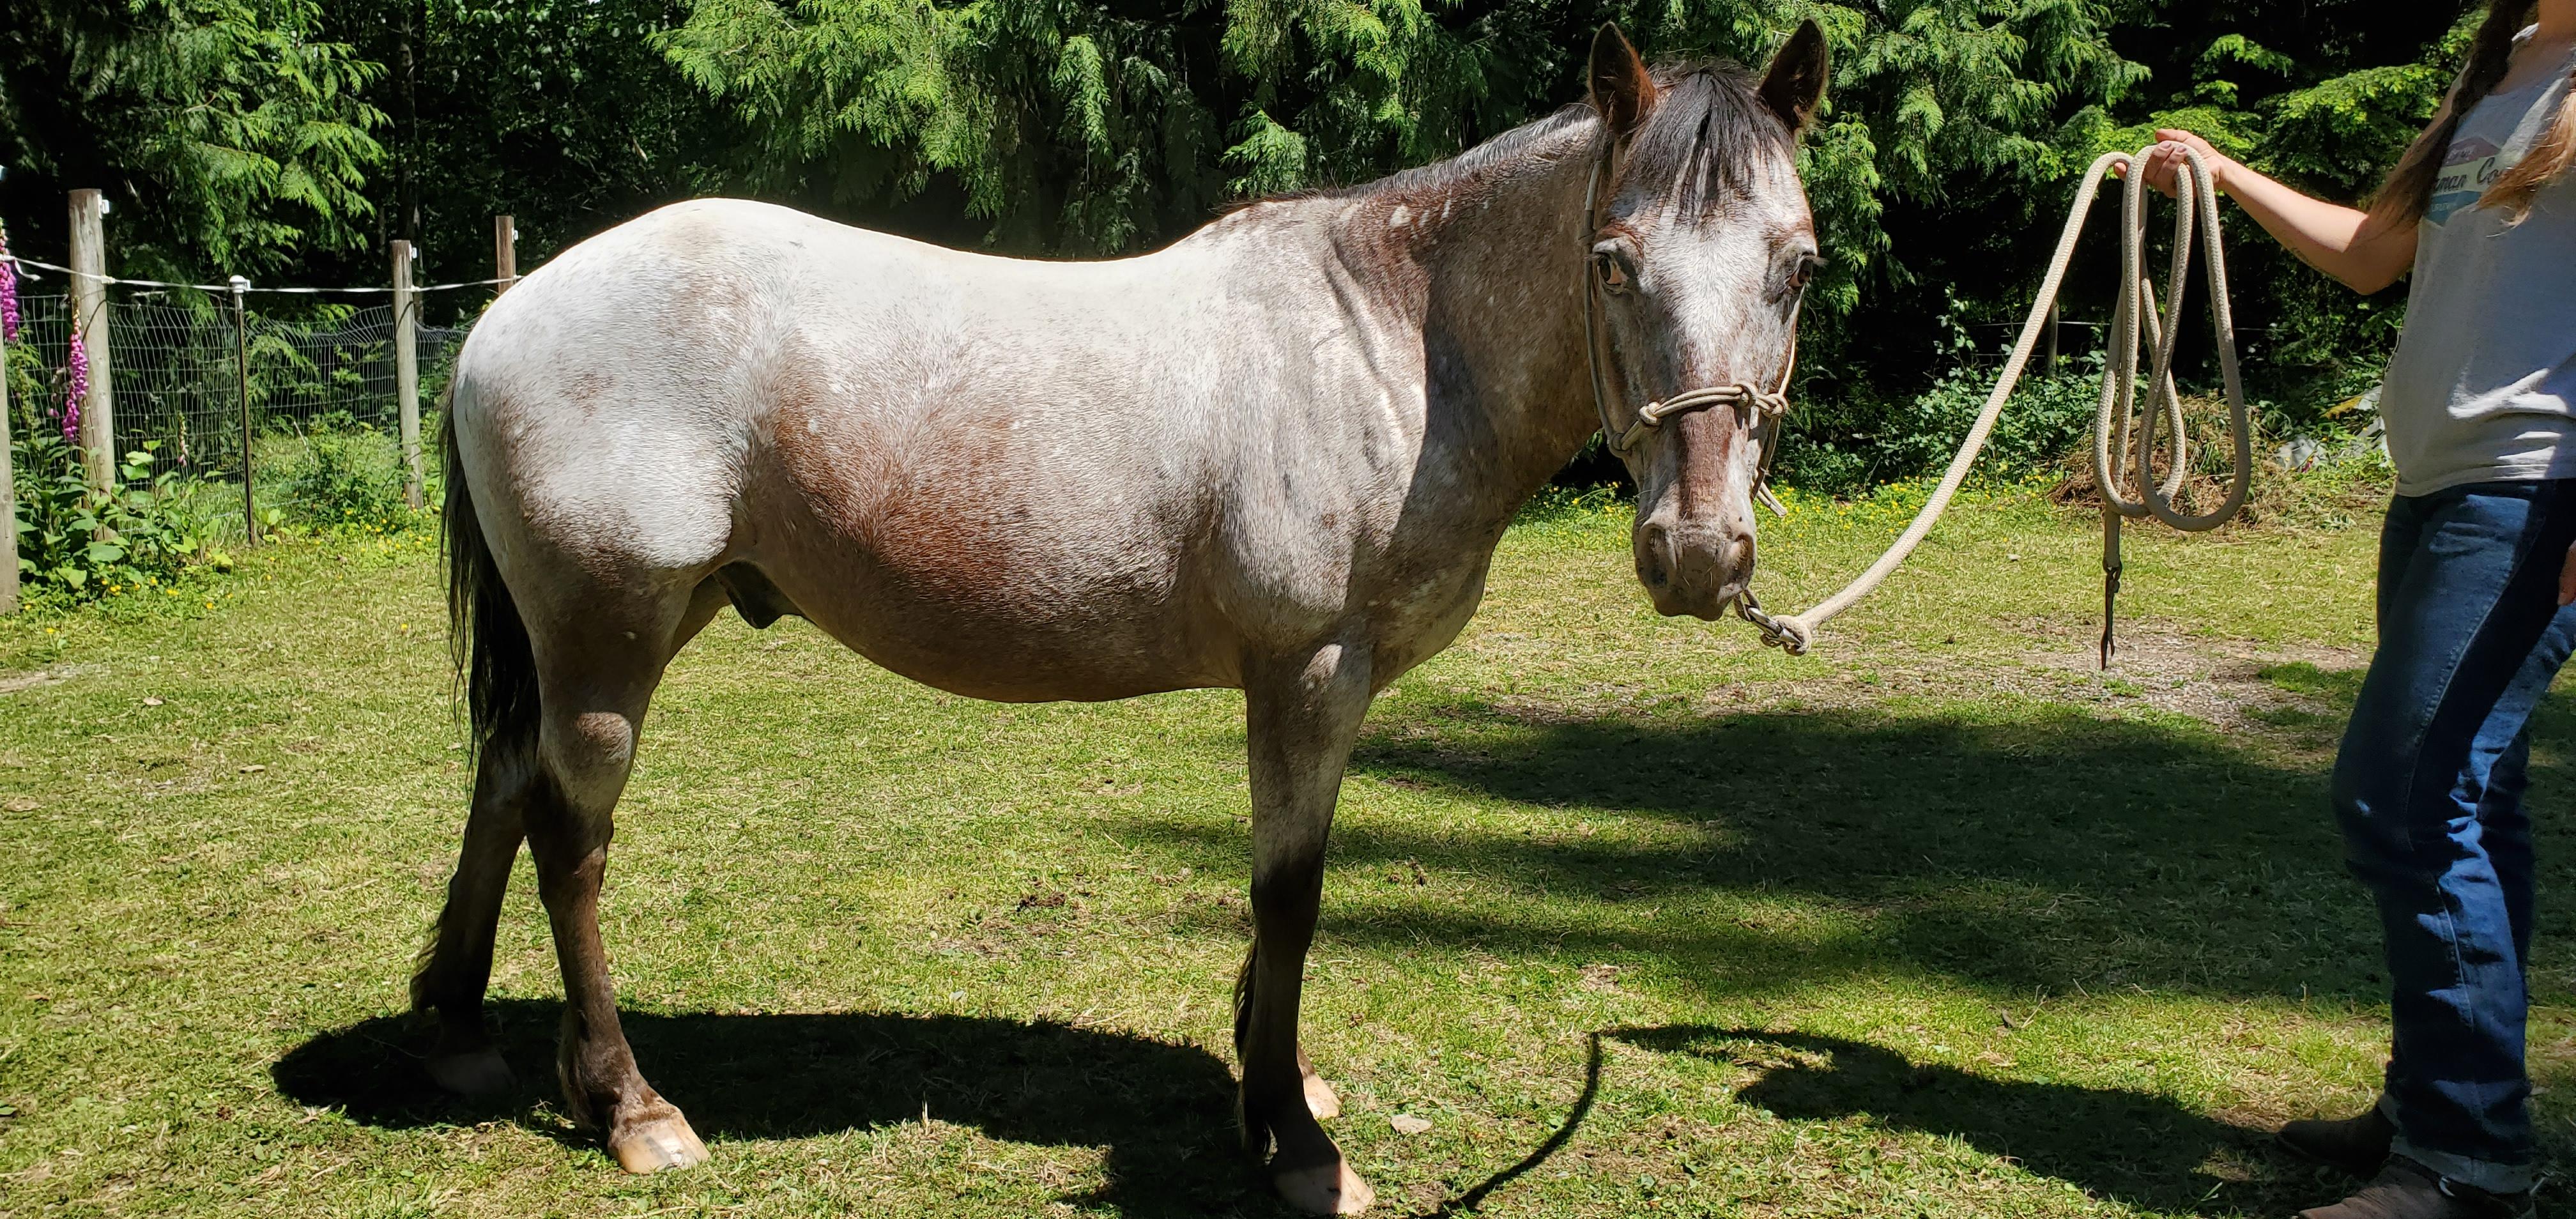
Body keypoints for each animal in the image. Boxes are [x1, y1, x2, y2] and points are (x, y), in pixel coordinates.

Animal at [412, 23, 1828, 1213]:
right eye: (1613, 262)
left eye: (1798, 266)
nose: (1697, 551)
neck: (1389, 342)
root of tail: (502, 316)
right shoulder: (1307, 673)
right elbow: (1289, 894)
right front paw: (1296, 1146)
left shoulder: (1324, 686)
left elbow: (1282, 898)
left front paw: (1271, 1085)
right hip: (609, 634)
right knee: (569, 839)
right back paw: (629, 1106)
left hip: (625, 628)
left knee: (504, 780)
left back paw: (462, 1031)